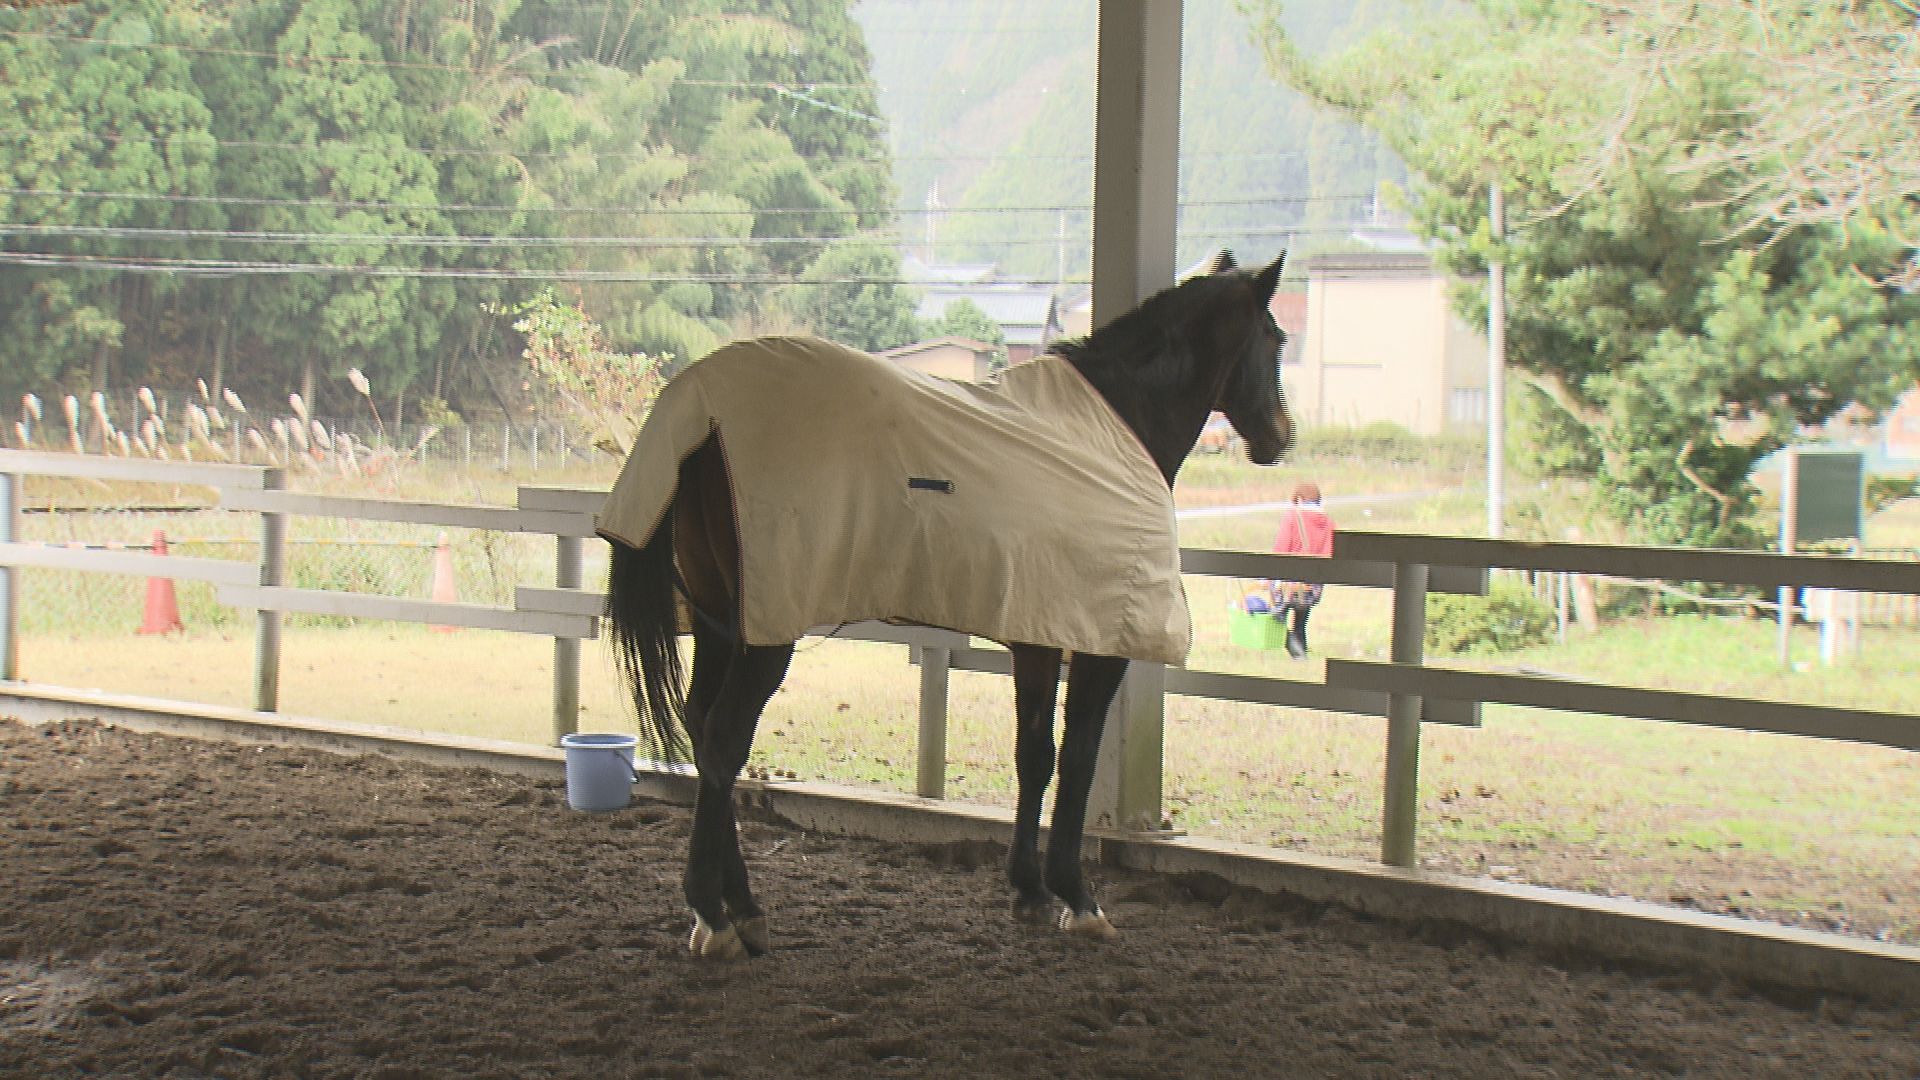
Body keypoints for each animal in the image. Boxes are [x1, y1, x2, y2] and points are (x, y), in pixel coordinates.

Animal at [599, 250, 1293, 960]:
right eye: (1276, 336)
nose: (1282, 435)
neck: (1113, 426)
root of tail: (702, 415)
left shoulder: (1038, 632)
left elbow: (1034, 754)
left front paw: (1029, 891)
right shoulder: (1101, 643)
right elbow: (1077, 758)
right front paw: (1078, 898)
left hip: (721, 623)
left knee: (704, 727)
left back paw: (738, 908)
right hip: (767, 629)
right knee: (722, 741)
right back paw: (715, 916)